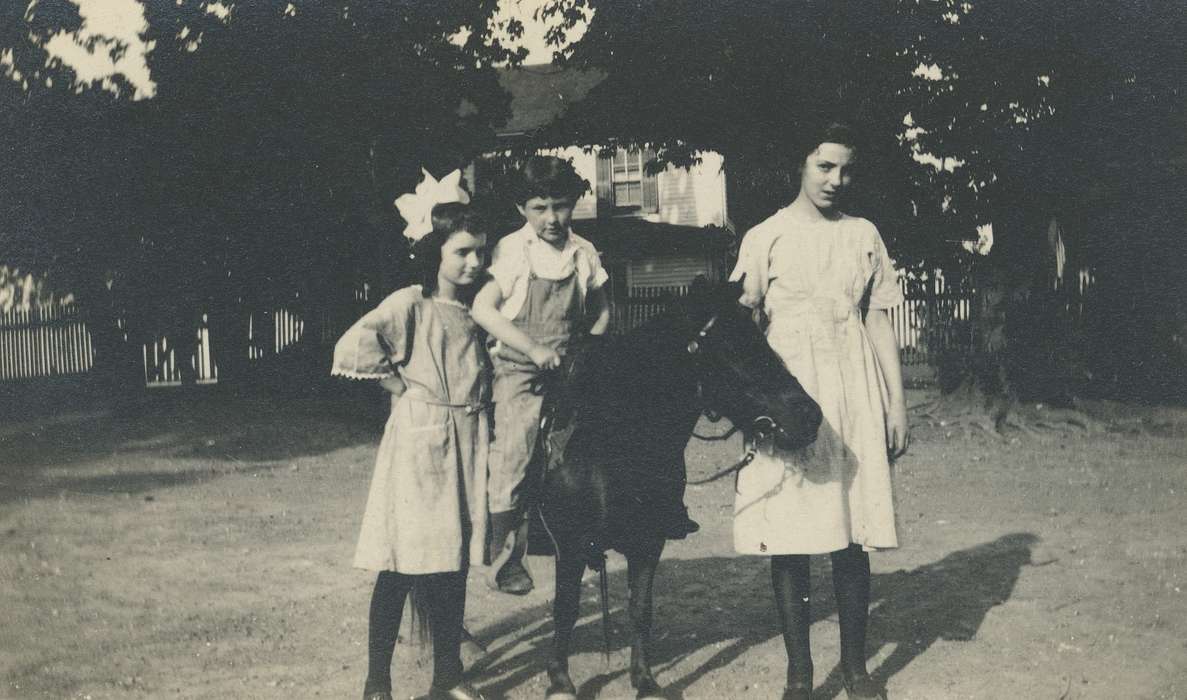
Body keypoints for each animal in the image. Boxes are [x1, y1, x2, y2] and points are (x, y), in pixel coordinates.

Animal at [534, 277, 821, 697]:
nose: (810, 415)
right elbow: (565, 608)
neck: (614, 442)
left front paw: (644, 679)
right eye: (733, 349)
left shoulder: (648, 542)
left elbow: (640, 609)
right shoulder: (569, 546)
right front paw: (559, 680)